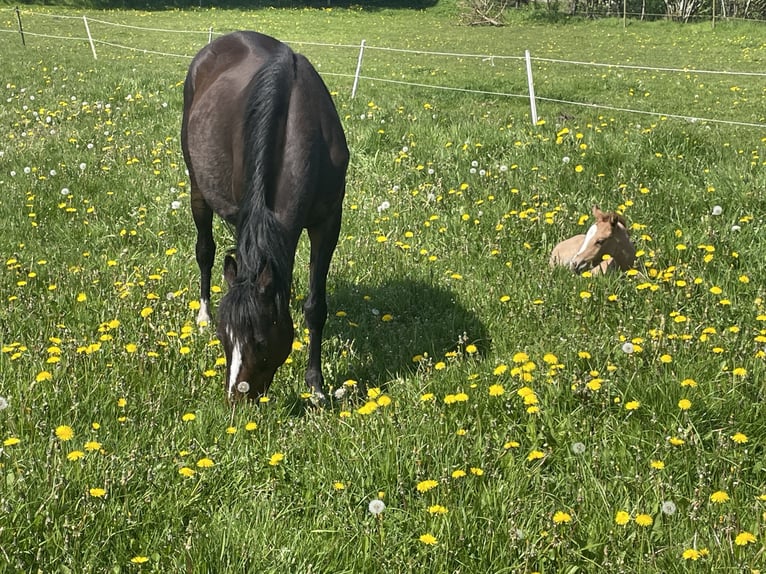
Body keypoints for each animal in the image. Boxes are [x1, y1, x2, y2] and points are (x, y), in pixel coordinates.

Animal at [182, 30, 350, 400]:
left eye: (259, 342)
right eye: (224, 337)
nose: (236, 397)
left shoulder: (328, 222)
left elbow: (315, 305)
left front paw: (315, 386)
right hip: (197, 186)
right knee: (205, 251)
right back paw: (202, 313)